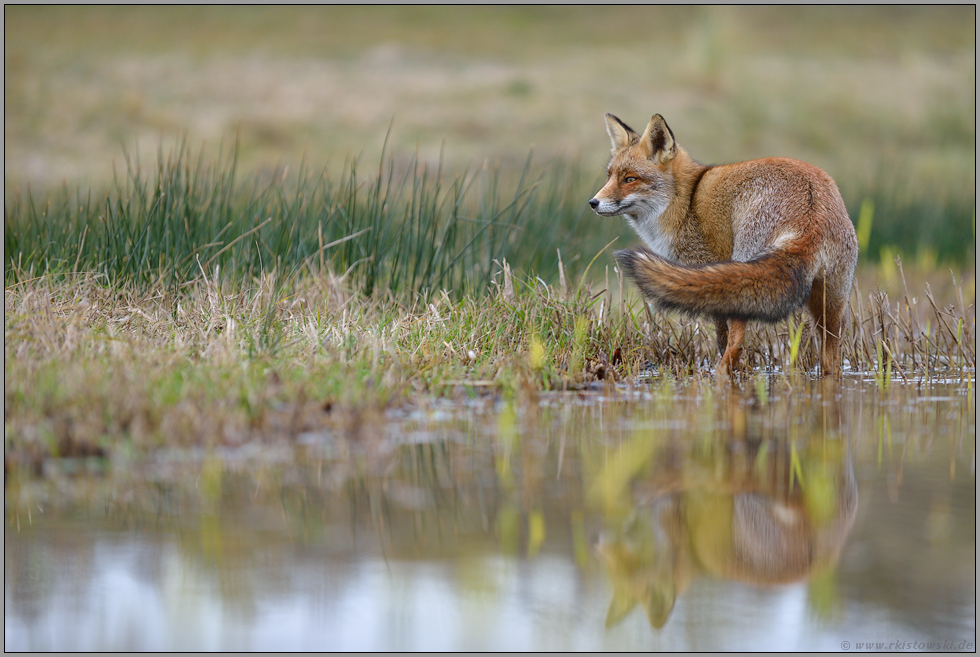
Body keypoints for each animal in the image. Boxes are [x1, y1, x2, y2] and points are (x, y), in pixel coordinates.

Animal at [589, 113, 859, 377]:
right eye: (609, 176)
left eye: (630, 179)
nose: (593, 202)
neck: (684, 202)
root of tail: (811, 212)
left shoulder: (707, 272)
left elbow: (722, 338)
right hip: (832, 303)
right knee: (832, 355)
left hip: (742, 283)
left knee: (737, 341)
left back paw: (719, 376)